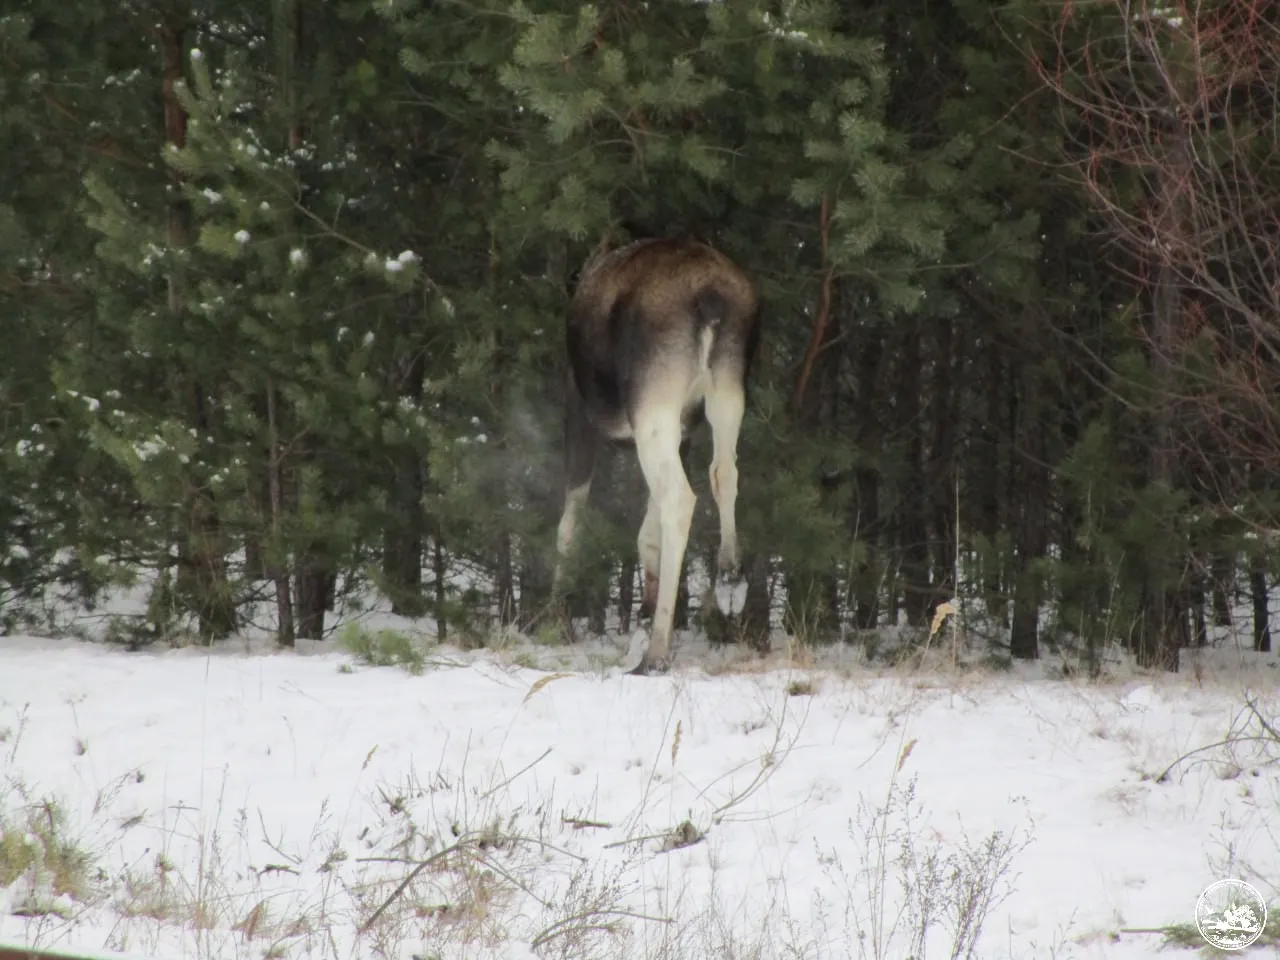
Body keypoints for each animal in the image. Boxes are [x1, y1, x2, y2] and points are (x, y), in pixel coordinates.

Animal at [550, 239, 757, 675]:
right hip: (727, 387)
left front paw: (557, 613)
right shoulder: (685, 431)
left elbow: (570, 521)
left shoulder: (578, 410)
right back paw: (730, 579)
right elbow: (647, 531)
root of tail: (711, 297)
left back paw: (657, 651)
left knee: (680, 499)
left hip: (652, 401)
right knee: (724, 473)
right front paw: (643, 612)